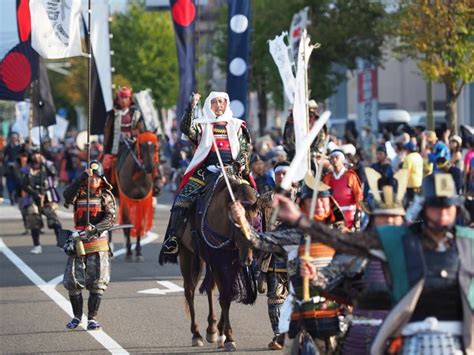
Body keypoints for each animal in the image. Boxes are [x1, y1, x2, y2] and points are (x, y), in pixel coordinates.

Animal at [115, 132, 160, 262]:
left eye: (155, 146)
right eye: (142, 146)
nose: (150, 167)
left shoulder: (142, 199)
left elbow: (139, 223)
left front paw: (139, 251)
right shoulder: (126, 198)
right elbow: (127, 223)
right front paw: (129, 251)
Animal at [172, 174, 260, 352]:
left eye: (256, 225)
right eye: (238, 225)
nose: (247, 260)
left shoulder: (232, 261)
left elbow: (227, 294)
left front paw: (221, 332)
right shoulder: (219, 259)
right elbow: (225, 298)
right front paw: (229, 338)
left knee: (210, 289)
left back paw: (212, 329)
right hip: (187, 254)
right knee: (189, 290)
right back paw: (196, 334)